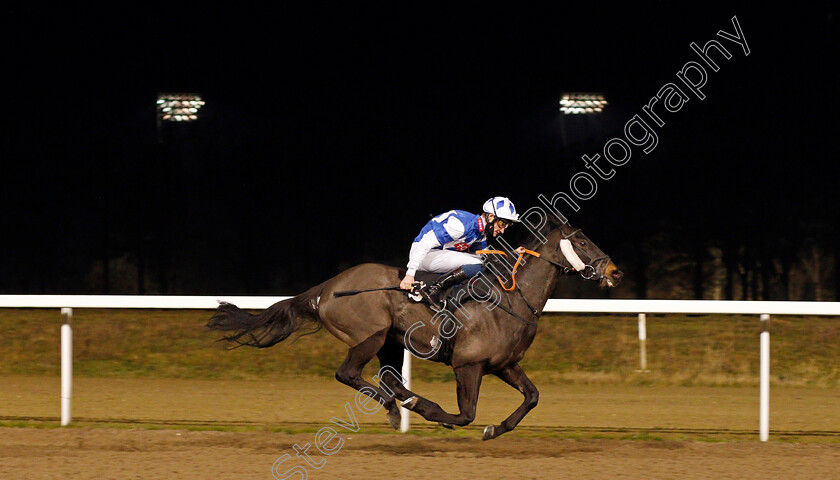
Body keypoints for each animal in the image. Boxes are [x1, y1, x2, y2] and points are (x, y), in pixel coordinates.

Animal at [207, 216, 620, 440]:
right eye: (583, 241)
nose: (614, 272)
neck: (513, 300)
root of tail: (324, 289)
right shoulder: (468, 365)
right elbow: (465, 414)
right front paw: (443, 417)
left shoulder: (503, 364)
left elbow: (532, 397)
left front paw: (495, 430)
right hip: (369, 335)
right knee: (349, 373)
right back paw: (399, 407)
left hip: (391, 341)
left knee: (388, 379)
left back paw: (404, 402)